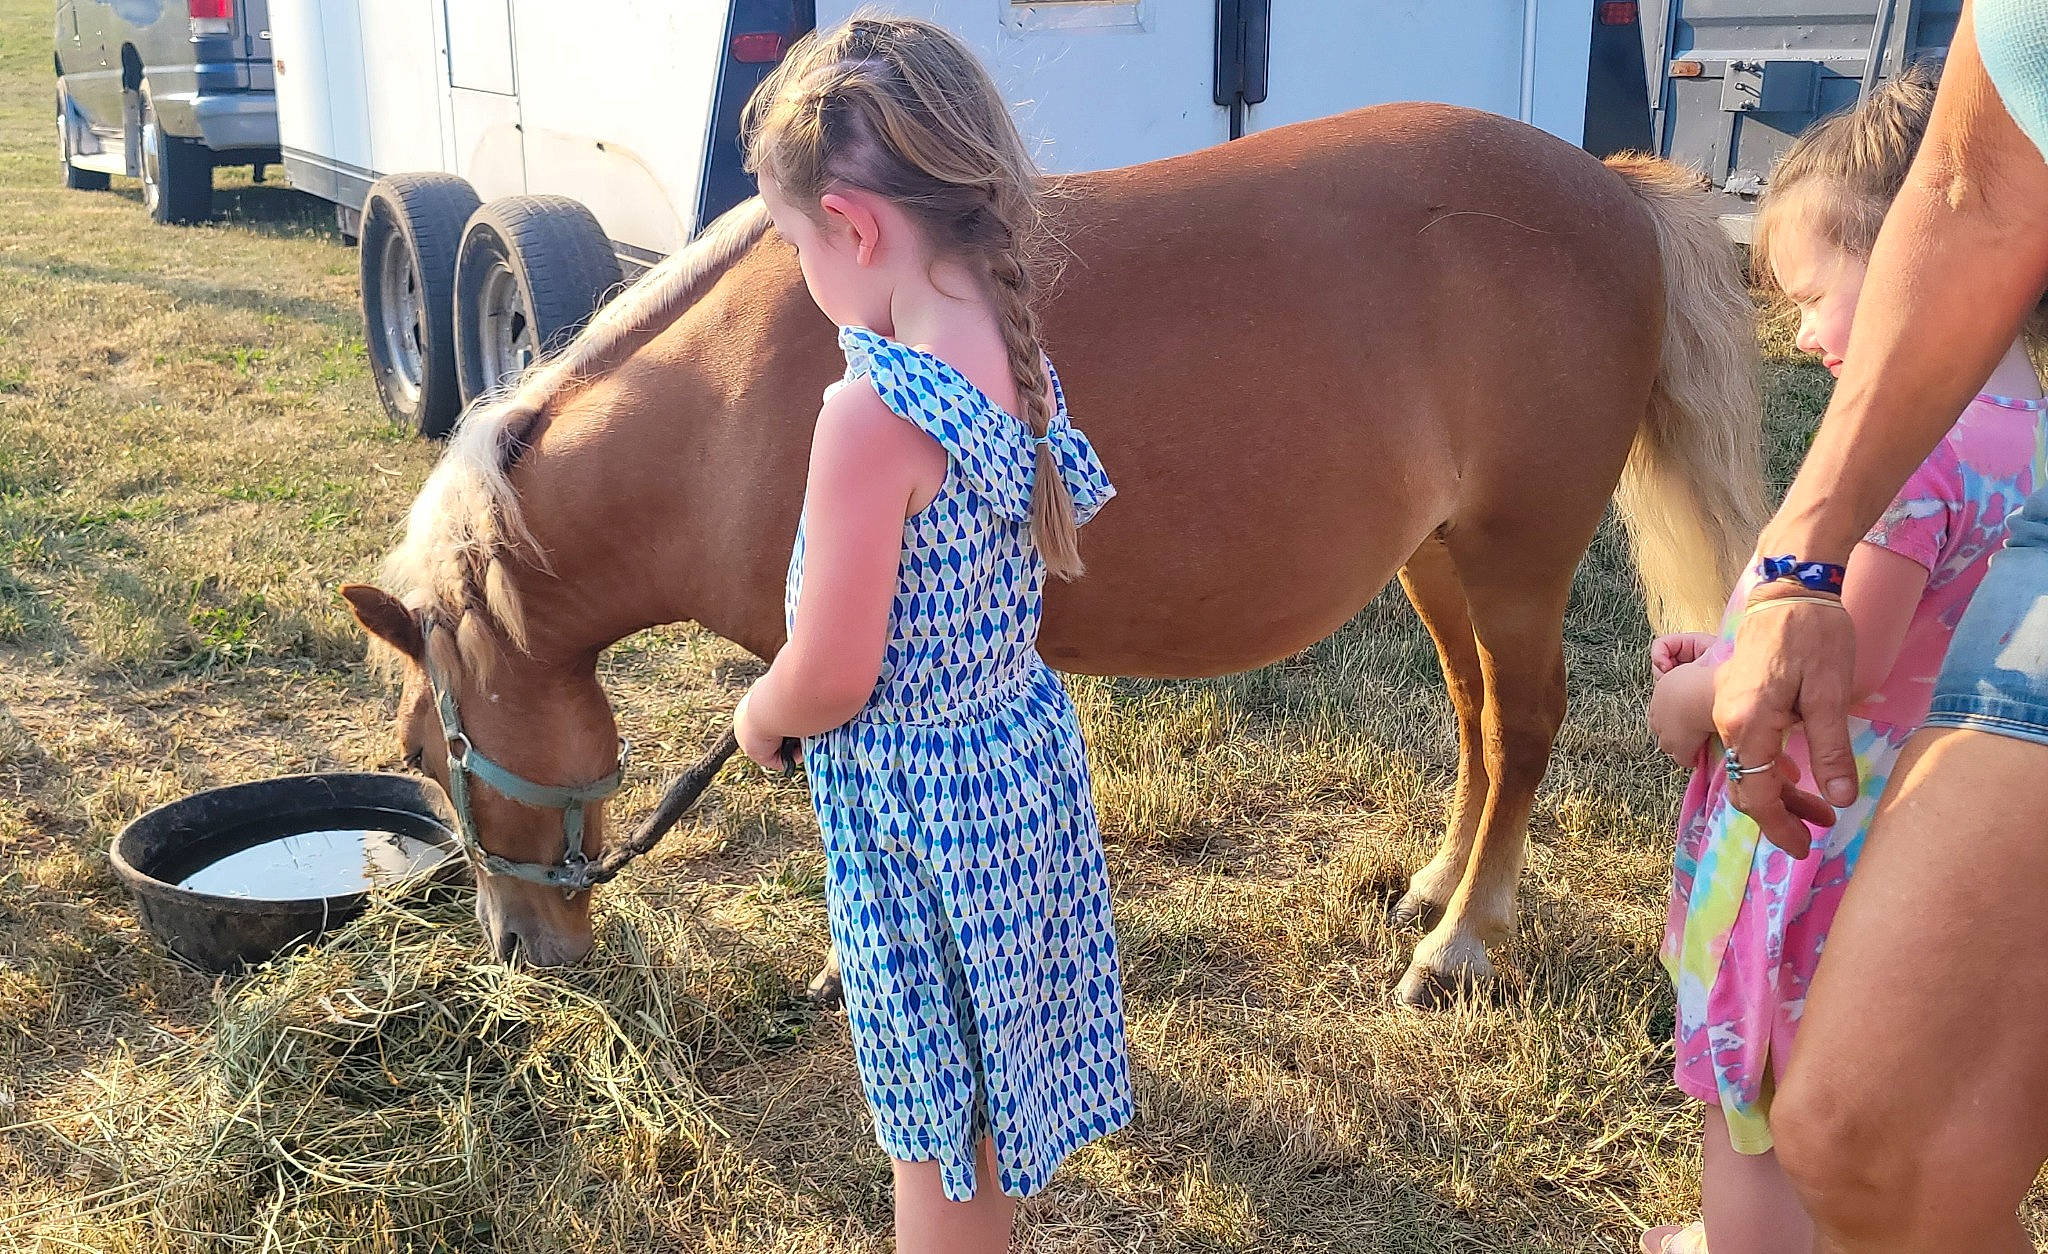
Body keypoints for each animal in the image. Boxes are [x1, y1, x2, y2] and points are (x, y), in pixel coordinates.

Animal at [341, 103, 1764, 1005]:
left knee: (1522, 727)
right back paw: (1433, 889)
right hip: (1441, 558)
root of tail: (1614, 188)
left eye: (418, 749)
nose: (517, 947)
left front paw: (846, 971)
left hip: (1517, 556)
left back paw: (1461, 946)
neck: (733, 395)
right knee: (1474, 719)